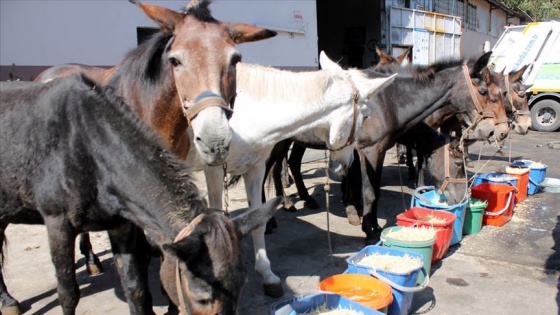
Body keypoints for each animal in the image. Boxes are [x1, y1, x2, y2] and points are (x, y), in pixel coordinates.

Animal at [0, 76, 280, 315]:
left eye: (241, 286)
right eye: (201, 296)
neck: (86, 141)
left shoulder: (120, 225)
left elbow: (136, 290)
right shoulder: (57, 224)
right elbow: (68, 294)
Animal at [182, 51, 396, 298]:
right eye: (366, 115)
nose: (349, 162)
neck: (244, 116)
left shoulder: (254, 168)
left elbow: (258, 222)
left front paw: (268, 276)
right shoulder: (214, 170)